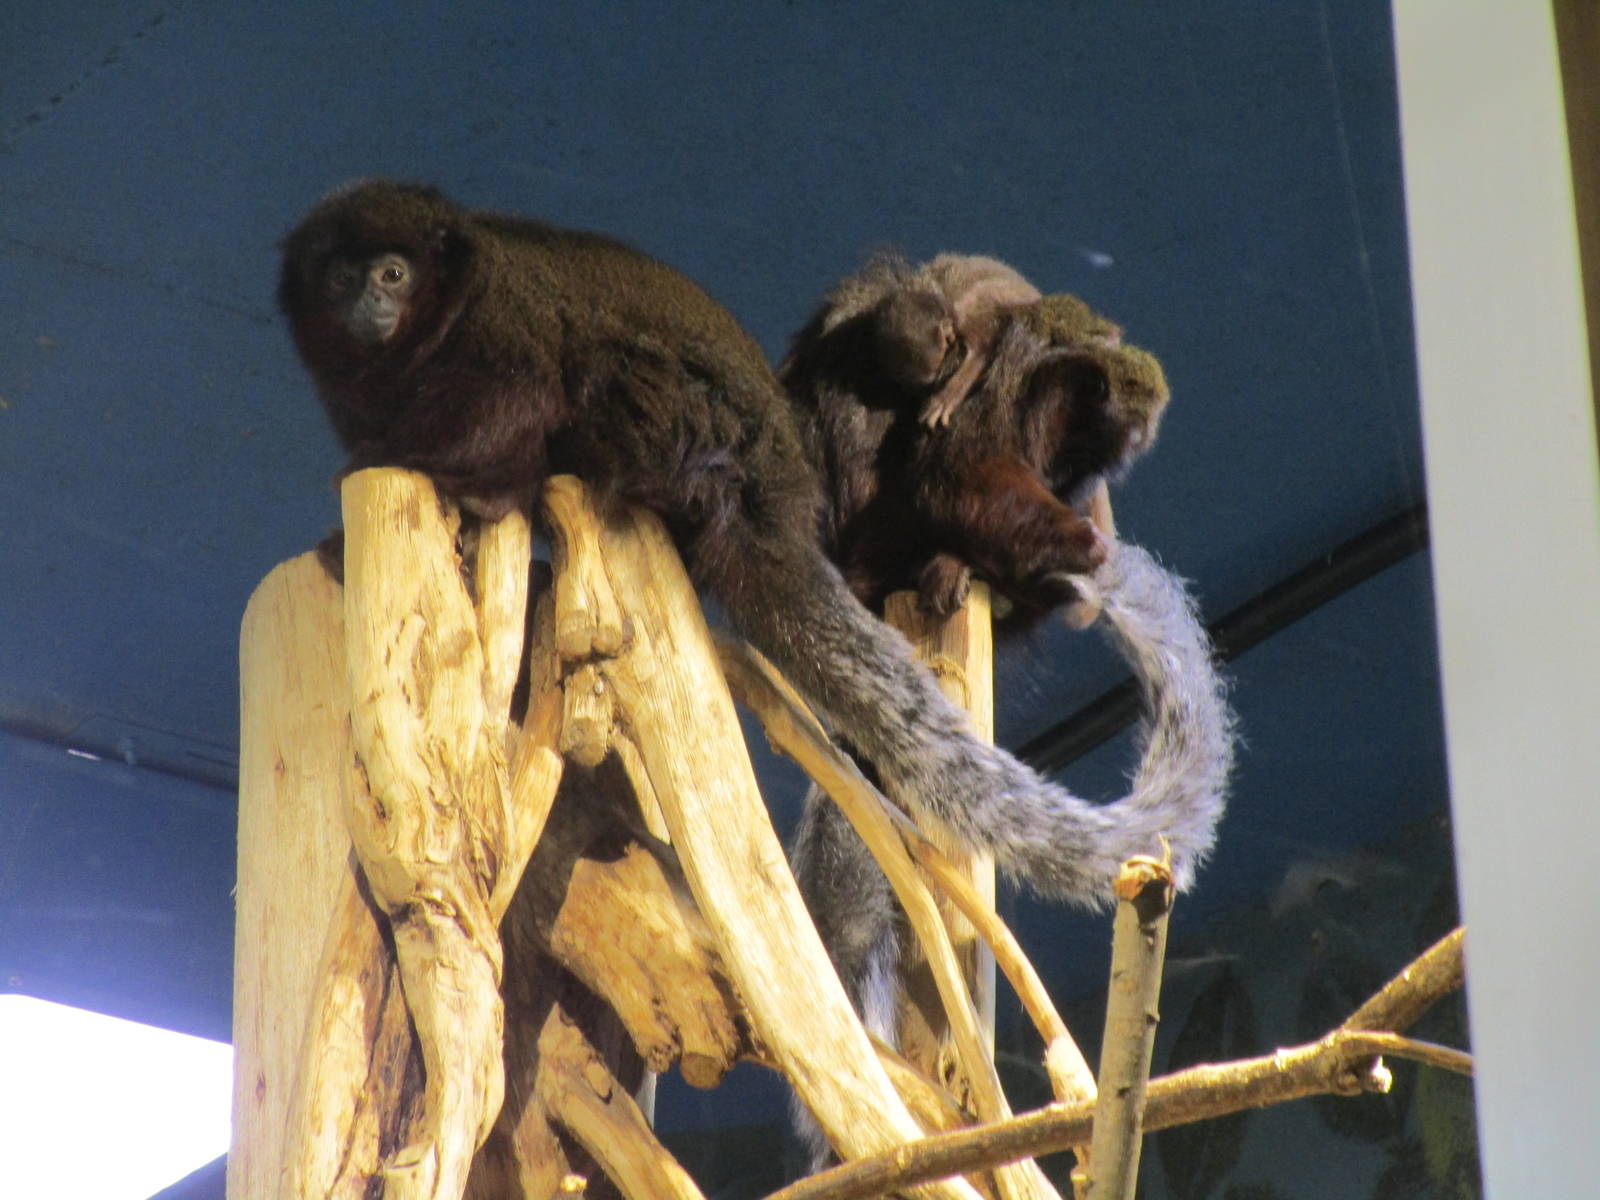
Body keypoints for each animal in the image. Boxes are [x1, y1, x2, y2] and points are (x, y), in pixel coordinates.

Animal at [278, 178, 1226, 1044]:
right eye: (343, 278)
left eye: (394, 273)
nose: (368, 302)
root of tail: (776, 501)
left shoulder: (500, 327)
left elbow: (518, 393)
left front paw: (454, 477)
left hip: (688, 434)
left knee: (598, 373)